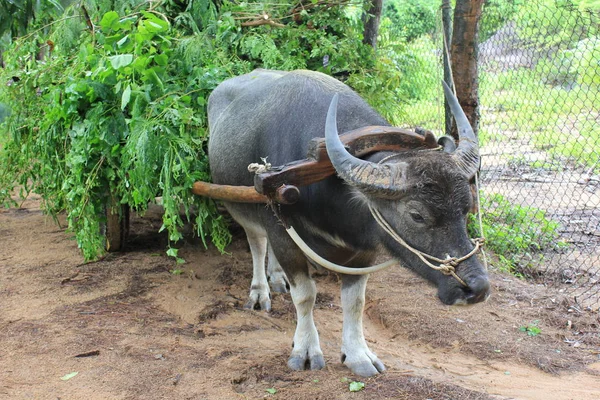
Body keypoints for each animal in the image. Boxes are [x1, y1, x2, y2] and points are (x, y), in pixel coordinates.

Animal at [209, 69, 490, 378]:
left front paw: (357, 355)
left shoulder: (364, 252)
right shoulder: (281, 232)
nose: (477, 288)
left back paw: (277, 278)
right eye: (416, 215)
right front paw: (305, 350)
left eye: (466, 207)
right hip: (243, 208)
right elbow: (305, 295)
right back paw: (260, 291)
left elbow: (355, 302)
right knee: (257, 244)